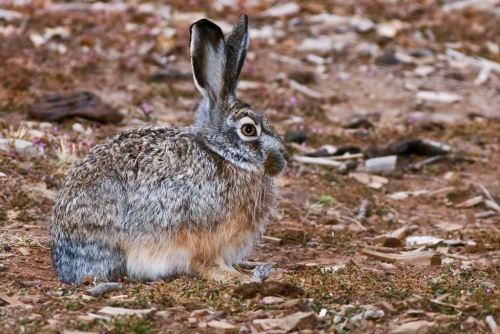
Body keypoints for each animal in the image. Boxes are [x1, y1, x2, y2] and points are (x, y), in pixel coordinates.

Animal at [50, 14, 290, 284]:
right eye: (249, 130)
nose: (284, 159)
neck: (222, 153)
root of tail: (65, 263)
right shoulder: (204, 235)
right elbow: (207, 263)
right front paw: (237, 277)